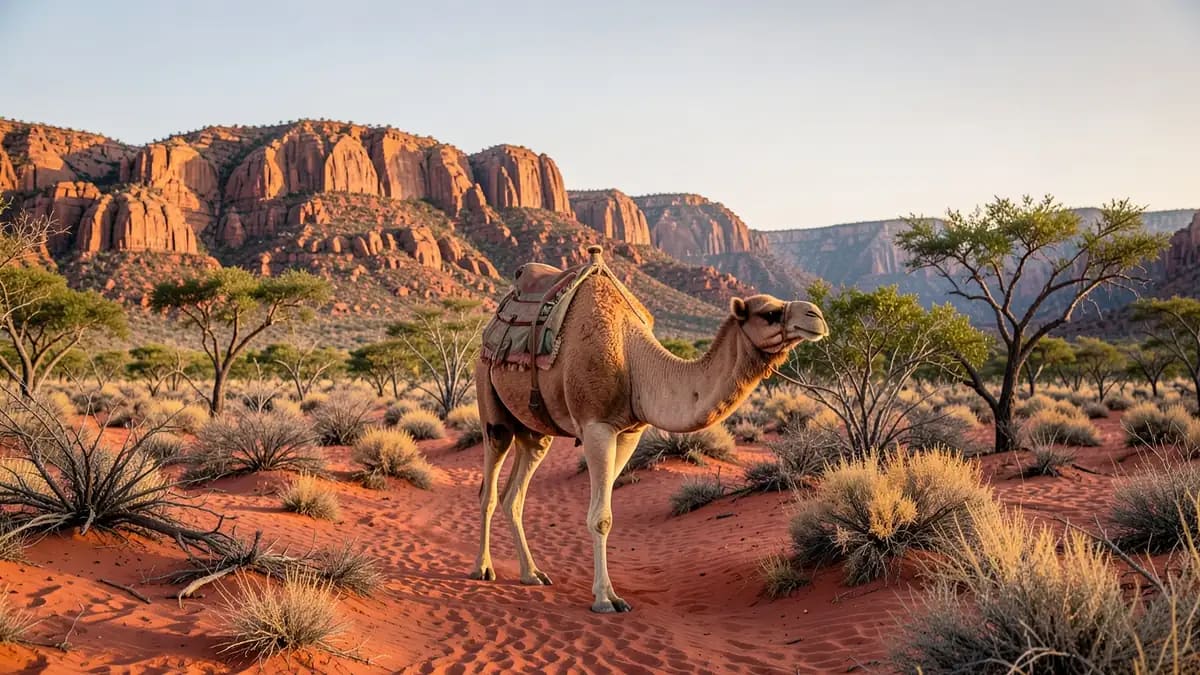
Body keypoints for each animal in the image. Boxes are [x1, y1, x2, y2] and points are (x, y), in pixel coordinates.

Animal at [471, 249, 828, 612]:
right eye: (769, 313)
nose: (816, 315)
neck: (635, 361)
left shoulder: (629, 432)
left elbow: (605, 511)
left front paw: (612, 595)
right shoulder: (597, 426)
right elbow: (600, 517)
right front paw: (604, 600)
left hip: (534, 430)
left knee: (515, 493)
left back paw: (531, 574)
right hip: (491, 404)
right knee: (489, 488)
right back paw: (483, 569)